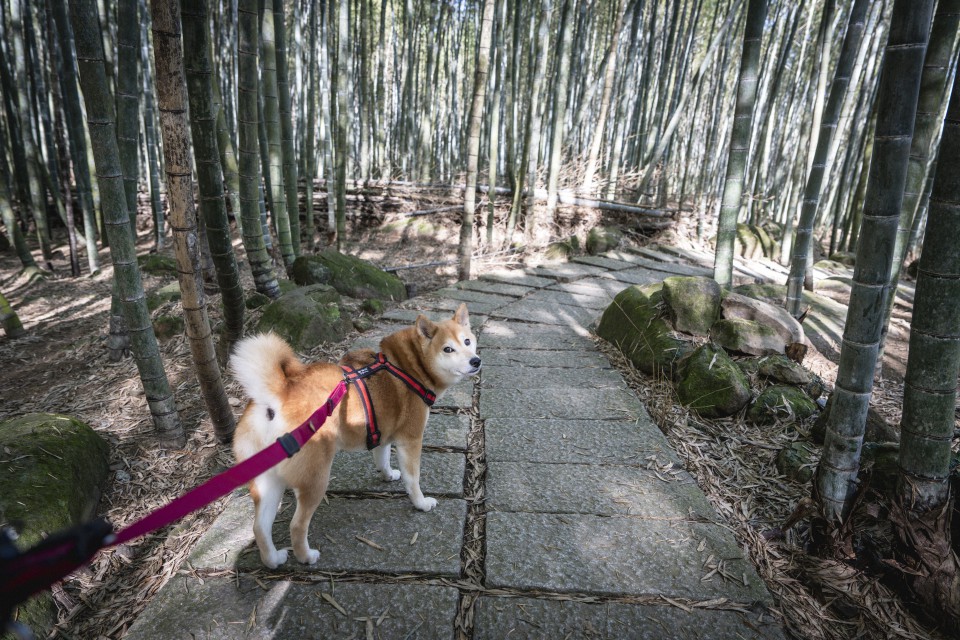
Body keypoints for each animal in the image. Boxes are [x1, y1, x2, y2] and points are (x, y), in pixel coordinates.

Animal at [230, 302, 484, 568]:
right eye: (448, 349)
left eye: (467, 341)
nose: (476, 361)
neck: (409, 367)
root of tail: (275, 397)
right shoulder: (411, 439)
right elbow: (412, 479)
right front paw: (421, 503)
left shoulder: (383, 431)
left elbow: (382, 458)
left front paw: (388, 475)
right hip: (315, 479)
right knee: (297, 526)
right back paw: (306, 557)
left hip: (269, 482)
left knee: (259, 527)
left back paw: (273, 559)